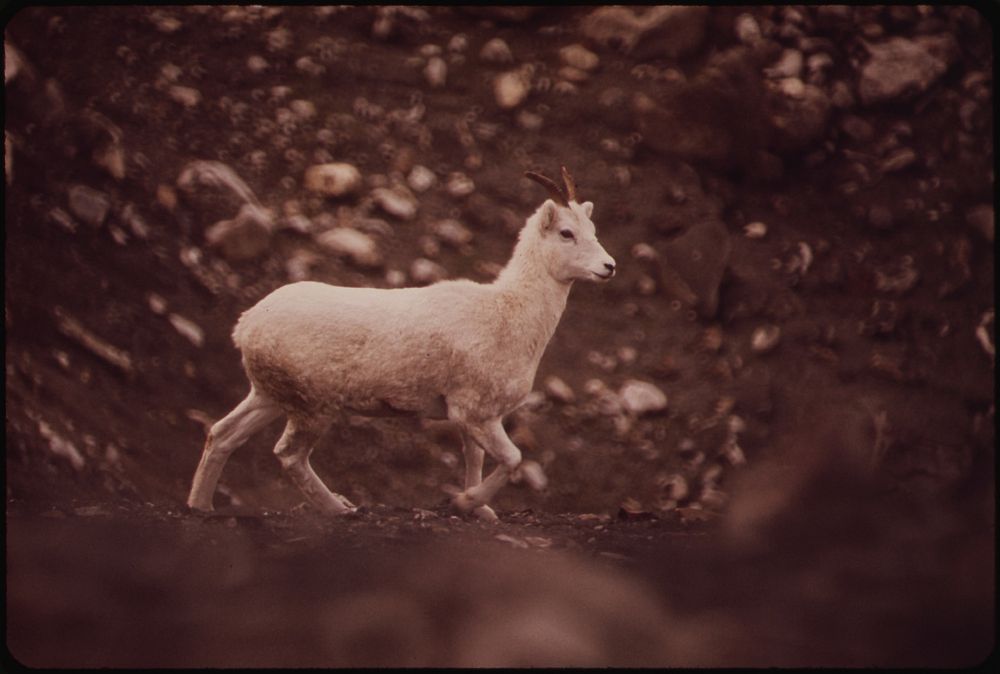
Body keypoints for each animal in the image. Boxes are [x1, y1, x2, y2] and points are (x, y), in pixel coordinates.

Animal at [184, 168, 612, 520]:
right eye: (567, 233)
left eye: (592, 231)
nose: (609, 267)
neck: (507, 314)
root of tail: (247, 326)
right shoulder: (474, 413)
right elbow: (511, 459)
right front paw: (464, 503)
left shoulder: (472, 419)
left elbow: (474, 460)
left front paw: (480, 512)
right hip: (313, 410)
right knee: (289, 456)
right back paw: (340, 509)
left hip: (269, 398)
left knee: (222, 435)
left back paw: (201, 506)